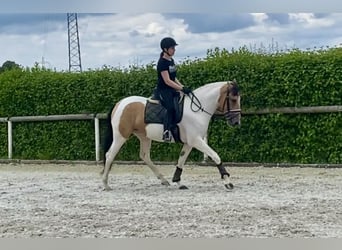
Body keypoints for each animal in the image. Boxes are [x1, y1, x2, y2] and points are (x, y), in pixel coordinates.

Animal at [100, 81, 242, 190]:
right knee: (110, 155)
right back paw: (105, 184)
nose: (236, 122)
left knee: (145, 156)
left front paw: (178, 181)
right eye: (233, 99)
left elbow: (181, 160)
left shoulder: (190, 142)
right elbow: (215, 156)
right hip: (120, 136)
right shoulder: (196, 140)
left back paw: (163, 180)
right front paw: (227, 181)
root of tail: (119, 103)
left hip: (144, 137)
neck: (197, 110)